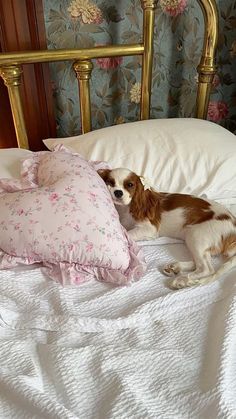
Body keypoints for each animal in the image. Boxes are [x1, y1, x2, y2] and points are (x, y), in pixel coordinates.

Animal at [98, 167, 236, 288]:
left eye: (130, 185)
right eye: (110, 182)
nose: (118, 192)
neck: (126, 208)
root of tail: (233, 227)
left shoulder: (150, 229)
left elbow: (128, 233)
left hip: (196, 234)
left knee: (206, 268)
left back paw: (181, 280)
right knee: (202, 261)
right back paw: (175, 268)